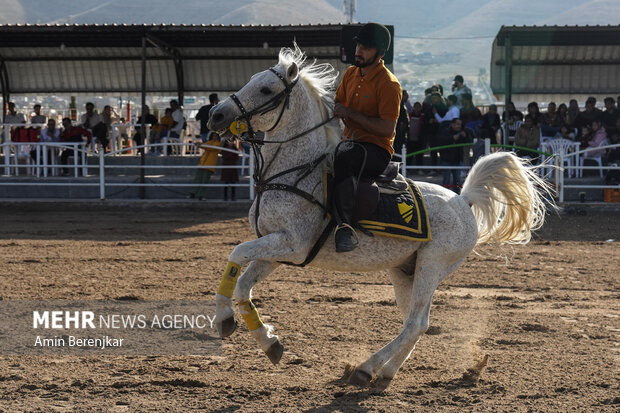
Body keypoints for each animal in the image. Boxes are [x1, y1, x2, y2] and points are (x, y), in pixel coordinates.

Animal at [209, 45, 552, 386]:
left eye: (266, 89)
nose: (216, 114)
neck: (294, 173)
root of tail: (463, 200)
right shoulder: (276, 251)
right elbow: (243, 286)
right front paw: (267, 340)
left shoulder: (293, 245)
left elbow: (236, 254)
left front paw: (225, 318)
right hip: (405, 271)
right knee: (415, 323)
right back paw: (383, 371)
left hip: (432, 265)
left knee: (416, 322)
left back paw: (365, 368)